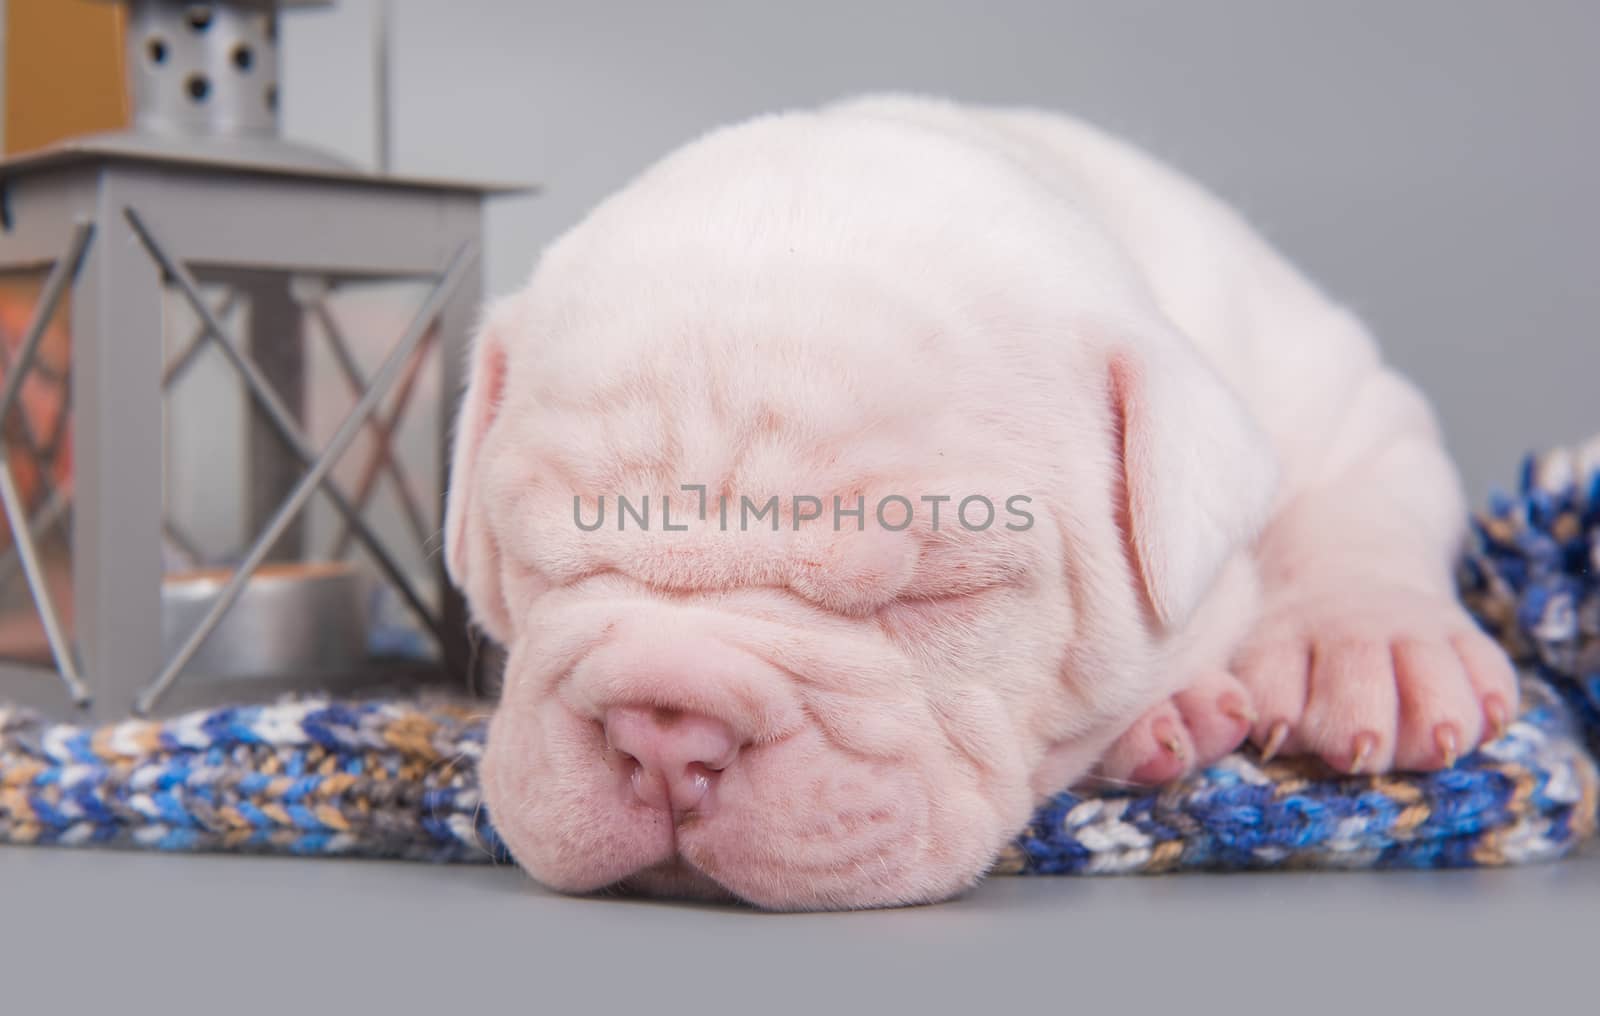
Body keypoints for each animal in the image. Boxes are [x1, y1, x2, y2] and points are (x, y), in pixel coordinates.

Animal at [444, 93, 1516, 908]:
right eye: (537, 561)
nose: (666, 739)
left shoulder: (1338, 393)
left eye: (940, 597)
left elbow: (1354, 496)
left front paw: (1369, 645)